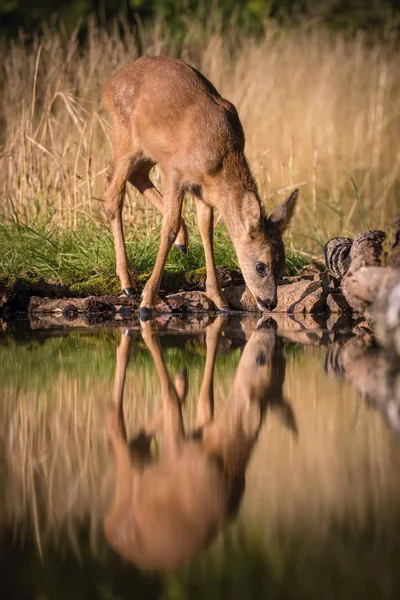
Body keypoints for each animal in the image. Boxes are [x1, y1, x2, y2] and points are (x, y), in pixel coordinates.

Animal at [101, 56, 298, 318]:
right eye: (260, 266)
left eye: (282, 264)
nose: (269, 303)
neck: (222, 159)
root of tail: (109, 83)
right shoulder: (175, 172)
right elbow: (169, 227)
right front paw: (147, 300)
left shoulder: (202, 189)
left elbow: (207, 230)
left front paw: (219, 299)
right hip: (125, 136)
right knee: (114, 196)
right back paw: (128, 284)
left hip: (146, 150)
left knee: (137, 175)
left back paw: (182, 242)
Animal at [103, 316, 296, 568]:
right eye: (264, 358)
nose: (270, 321)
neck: (220, 453)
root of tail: (109, 530)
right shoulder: (190, 438)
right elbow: (194, 397)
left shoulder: (182, 444)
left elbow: (187, 398)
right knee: (127, 437)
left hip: (135, 471)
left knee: (125, 436)